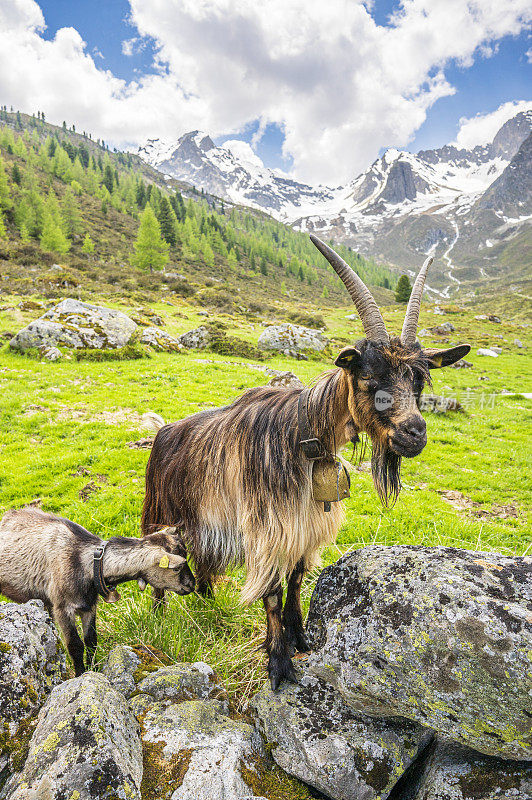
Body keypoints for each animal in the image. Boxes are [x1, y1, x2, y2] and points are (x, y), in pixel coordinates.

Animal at [141, 236, 470, 688]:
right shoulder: (268, 530)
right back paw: (159, 620)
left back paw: (208, 607)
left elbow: (296, 580)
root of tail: (162, 433)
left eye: (418, 381)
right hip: (163, 517)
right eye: (370, 380)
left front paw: (299, 638)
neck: (302, 437)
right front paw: (279, 664)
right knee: (162, 572)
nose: (414, 434)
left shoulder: (306, 524)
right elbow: (273, 594)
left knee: (205, 569)